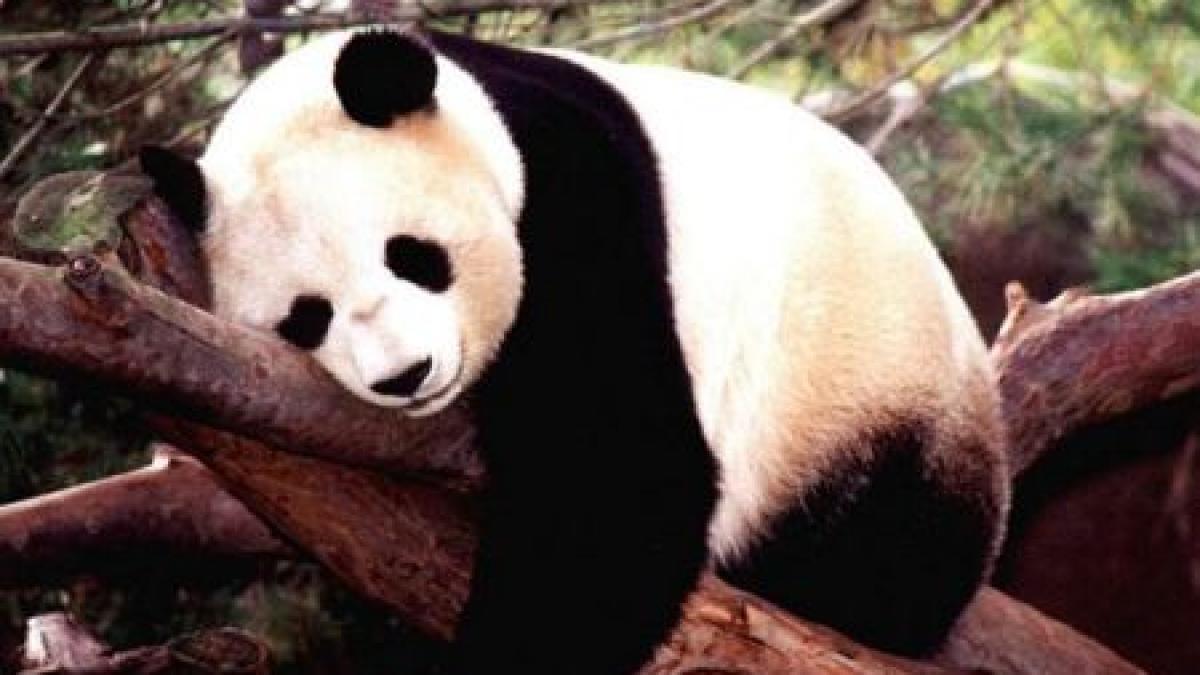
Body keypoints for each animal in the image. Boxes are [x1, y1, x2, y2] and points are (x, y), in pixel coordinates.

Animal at [140, 28, 1010, 675]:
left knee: (883, 558)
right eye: (307, 317)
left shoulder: (576, 196)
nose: (406, 375)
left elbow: (616, 477)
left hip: (862, 389)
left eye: (414, 255)